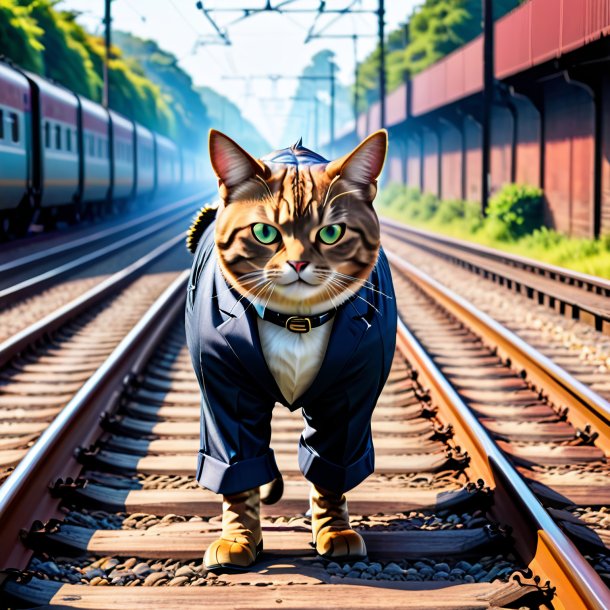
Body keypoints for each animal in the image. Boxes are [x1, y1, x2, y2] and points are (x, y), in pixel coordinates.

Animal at [183, 128, 396, 568]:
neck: (296, 321)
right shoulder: (225, 391)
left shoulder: (348, 397)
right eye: (265, 232)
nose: (298, 264)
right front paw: (239, 537)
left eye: (331, 233)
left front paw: (334, 529)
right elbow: (237, 466)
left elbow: (331, 467)